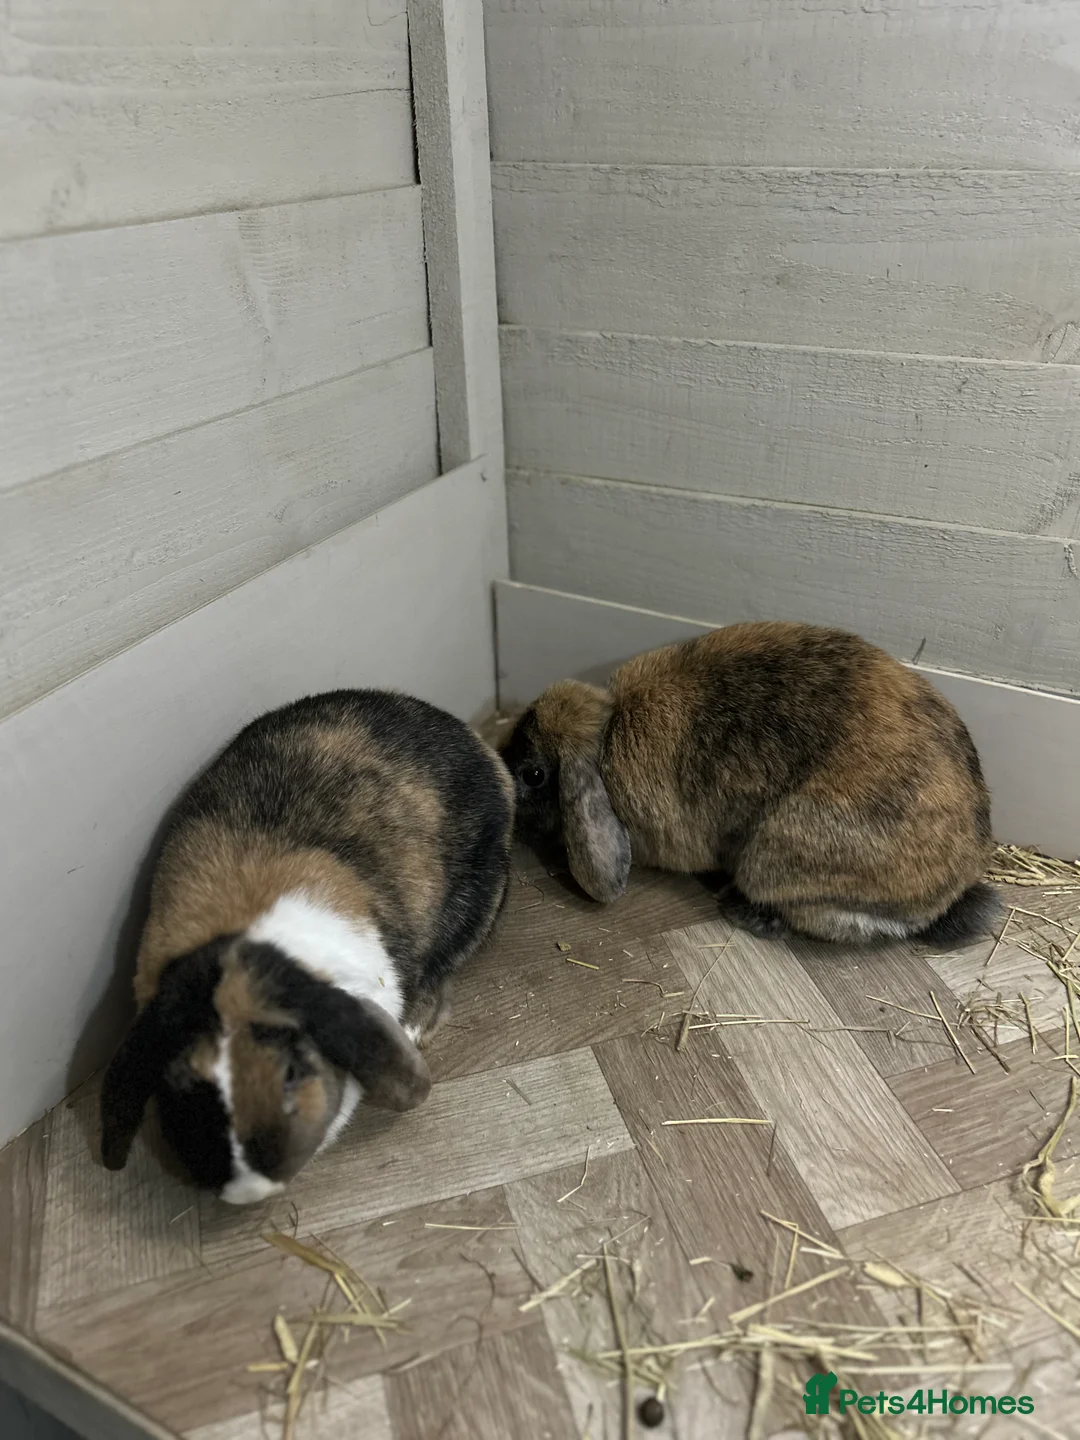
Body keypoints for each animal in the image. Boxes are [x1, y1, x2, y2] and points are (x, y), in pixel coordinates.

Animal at [500, 622, 998, 946]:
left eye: (534, 775)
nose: (506, 806)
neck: (607, 731)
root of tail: (950, 887)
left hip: (774, 854)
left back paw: (744, 910)